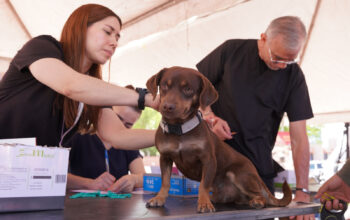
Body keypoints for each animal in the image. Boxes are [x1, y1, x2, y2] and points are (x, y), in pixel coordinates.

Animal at [145, 67, 292, 213]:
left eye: (188, 89)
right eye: (164, 86)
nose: (167, 106)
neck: (179, 129)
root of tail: (257, 176)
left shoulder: (208, 160)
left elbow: (203, 184)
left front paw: (204, 203)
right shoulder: (165, 157)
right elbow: (165, 182)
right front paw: (159, 198)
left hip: (239, 174)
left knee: (260, 195)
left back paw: (257, 201)